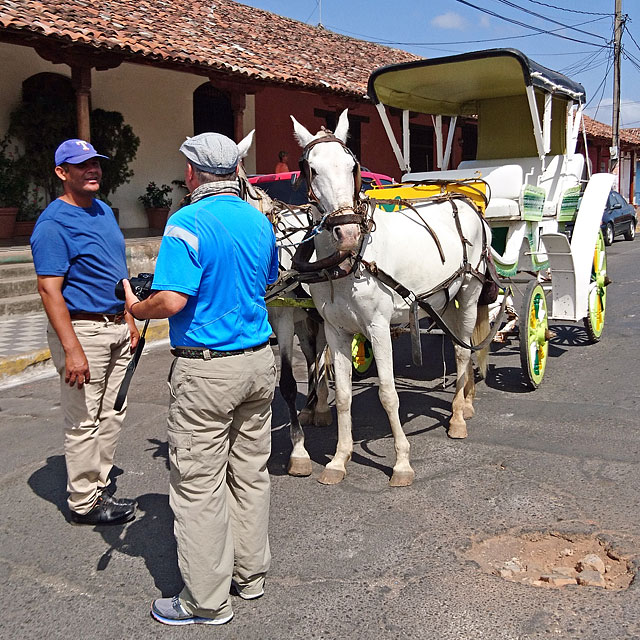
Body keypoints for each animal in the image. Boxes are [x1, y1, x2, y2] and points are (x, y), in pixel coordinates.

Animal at [238, 134, 332, 476]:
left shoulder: (283, 319)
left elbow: (290, 383)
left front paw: (299, 452)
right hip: (306, 319)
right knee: (314, 354)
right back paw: (313, 407)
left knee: (322, 354)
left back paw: (320, 406)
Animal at [292, 110, 492, 488]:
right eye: (312, 169)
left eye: (351, 165)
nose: (348, 231)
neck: (350, 259)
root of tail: (462, 200)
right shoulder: (336, 331)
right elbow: (343, 395)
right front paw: (339, 460)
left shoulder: (377, 327)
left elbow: (387, 392)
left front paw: (401, 463)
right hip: (443, 301)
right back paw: (466, 402)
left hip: (470, 293)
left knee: (463, 351)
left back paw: (458, 416)